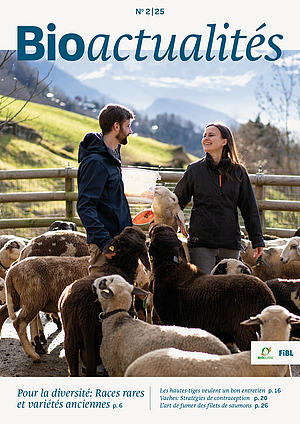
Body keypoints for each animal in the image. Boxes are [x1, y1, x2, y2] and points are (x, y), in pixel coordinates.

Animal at [58, 227, 151, 376]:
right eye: (142, 239)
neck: (119, 267)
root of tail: (82, 309)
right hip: (98, 340)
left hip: (71, 338)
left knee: (73, 368)